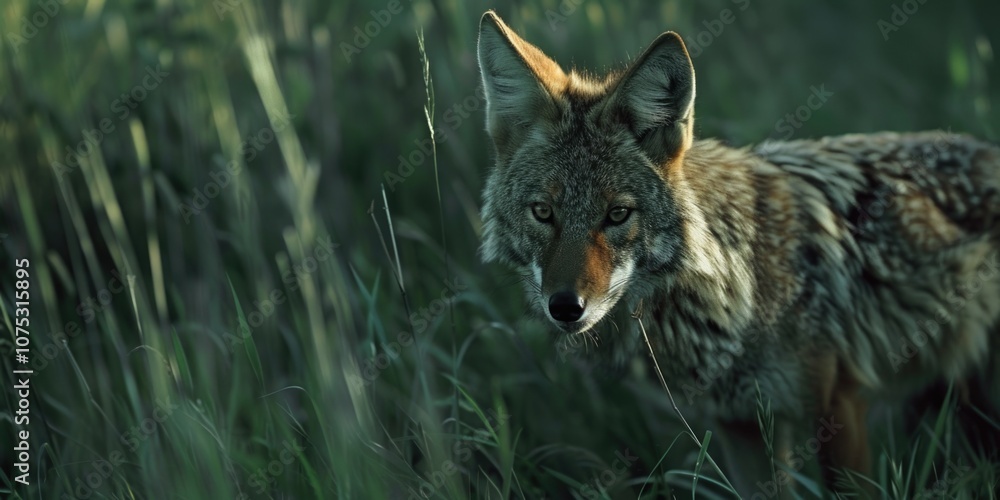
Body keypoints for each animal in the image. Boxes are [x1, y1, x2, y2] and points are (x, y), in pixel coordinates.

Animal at [475, 10, 1000, 497]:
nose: (565, 308)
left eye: (618, 214)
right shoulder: (740, 425)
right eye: (543, 212)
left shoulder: (839, 407)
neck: (736, 278)